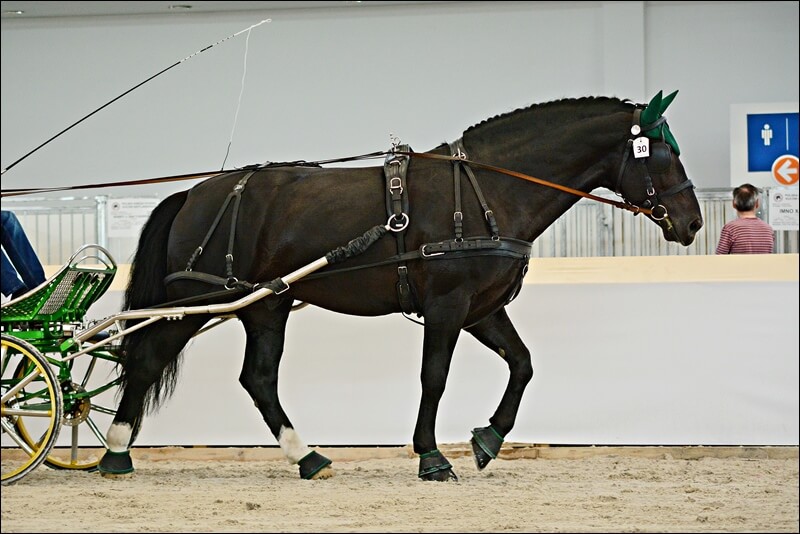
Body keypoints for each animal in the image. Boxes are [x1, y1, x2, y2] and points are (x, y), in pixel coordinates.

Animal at [98, 91, 700, 482]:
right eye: (663, 153)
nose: (691, 222)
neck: (487, 190)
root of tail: (195, 194)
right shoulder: (447, 306)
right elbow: (434, 378)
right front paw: (432, 458)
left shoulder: (481, 309)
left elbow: (523, 364)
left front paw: (488, 439)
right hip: (198, 299)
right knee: (148, 358)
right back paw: (116, 453)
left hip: (267, 303)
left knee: (258, 379)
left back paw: (307, 457)